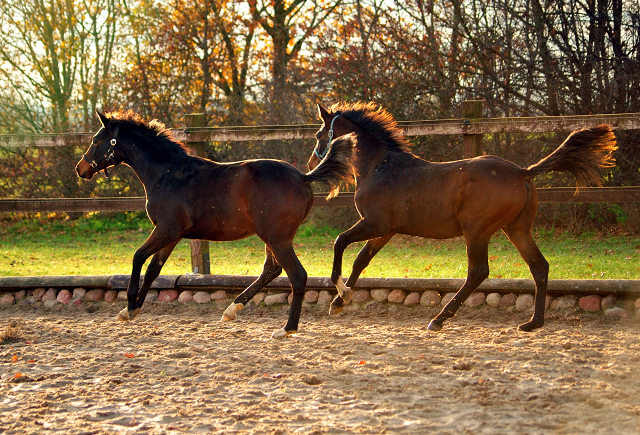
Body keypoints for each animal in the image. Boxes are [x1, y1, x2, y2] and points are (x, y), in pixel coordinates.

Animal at [78, 110, 356, 340]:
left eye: (96, 140)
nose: (80, 168)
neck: (167, 173)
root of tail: (303, 177)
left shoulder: (166, 229)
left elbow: (138, 257)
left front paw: (128, 305)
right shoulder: (173, 235)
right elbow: (153, 269)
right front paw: (133, 309)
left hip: (277, 238)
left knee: (296, 275)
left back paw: (287, 329)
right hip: (273, 238)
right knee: (271, 270)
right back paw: (232, 309)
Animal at [308, 103, 616, 334]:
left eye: (320, 134)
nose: (312, 163)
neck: (378, 166)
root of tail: (522, 173)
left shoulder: (375, 224)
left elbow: (339, 242)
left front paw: (340, 292)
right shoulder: (385, 230)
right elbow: (361, 260)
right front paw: (340, 301)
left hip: (476, 231)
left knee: (478, 272)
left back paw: (439, 319)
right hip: (517, 229)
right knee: (539, 266)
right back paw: (532, 323)